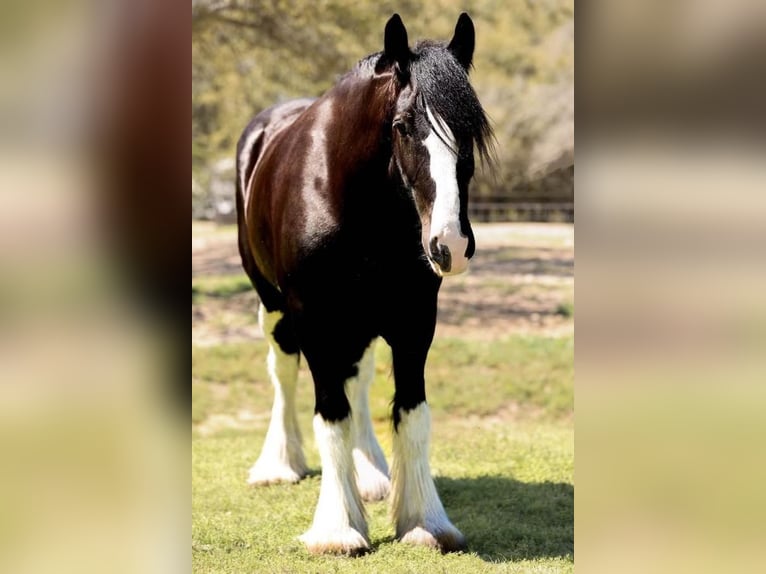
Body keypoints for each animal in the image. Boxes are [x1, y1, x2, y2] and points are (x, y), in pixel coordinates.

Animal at [237, 11, 496, 556]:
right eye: (401, 127)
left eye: (471, 132)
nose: (449, 242)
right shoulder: (313, 318)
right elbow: (330, 413)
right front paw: (337, 529)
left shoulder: (414, 318)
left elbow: (411, 412)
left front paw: (424, 520)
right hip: (274, 304)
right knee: (283, 371)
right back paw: (279, 465)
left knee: (358, 376)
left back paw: (371, 474)